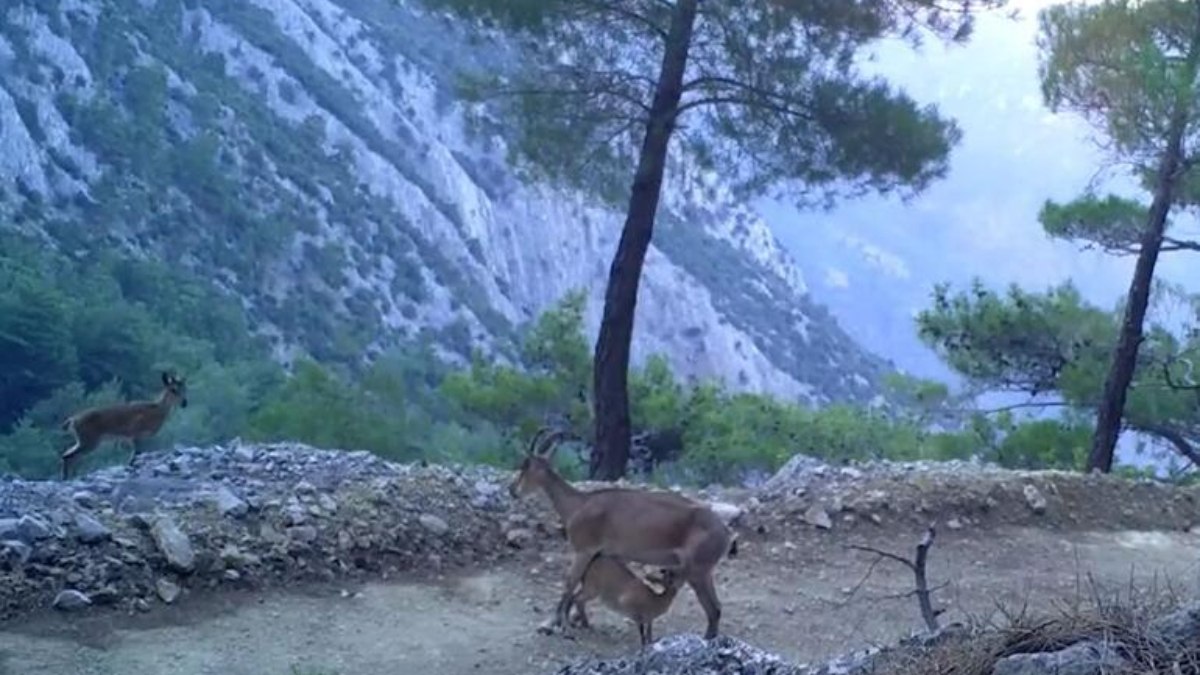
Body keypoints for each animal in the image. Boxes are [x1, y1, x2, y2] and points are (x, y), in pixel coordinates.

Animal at [60, 367, 188, 478]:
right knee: (69, 456)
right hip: (89, 440)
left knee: (68, 455)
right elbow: (135, 456)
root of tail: (73, 420)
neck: (156, 411)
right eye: (173, 389)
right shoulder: (135, 434)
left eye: (185, 389)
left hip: (82, 440)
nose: (184, 403)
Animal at [506, 427, 729, 638]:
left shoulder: (583, 551)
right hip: (702, 573)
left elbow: (570, 584)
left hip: (697, 572)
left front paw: (558, 624)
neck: (579, 505)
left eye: (525, 465)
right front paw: (578, 621)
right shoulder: (608, 556)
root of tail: (725, 532)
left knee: (712, 608)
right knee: (716, 609)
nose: (512, 490)